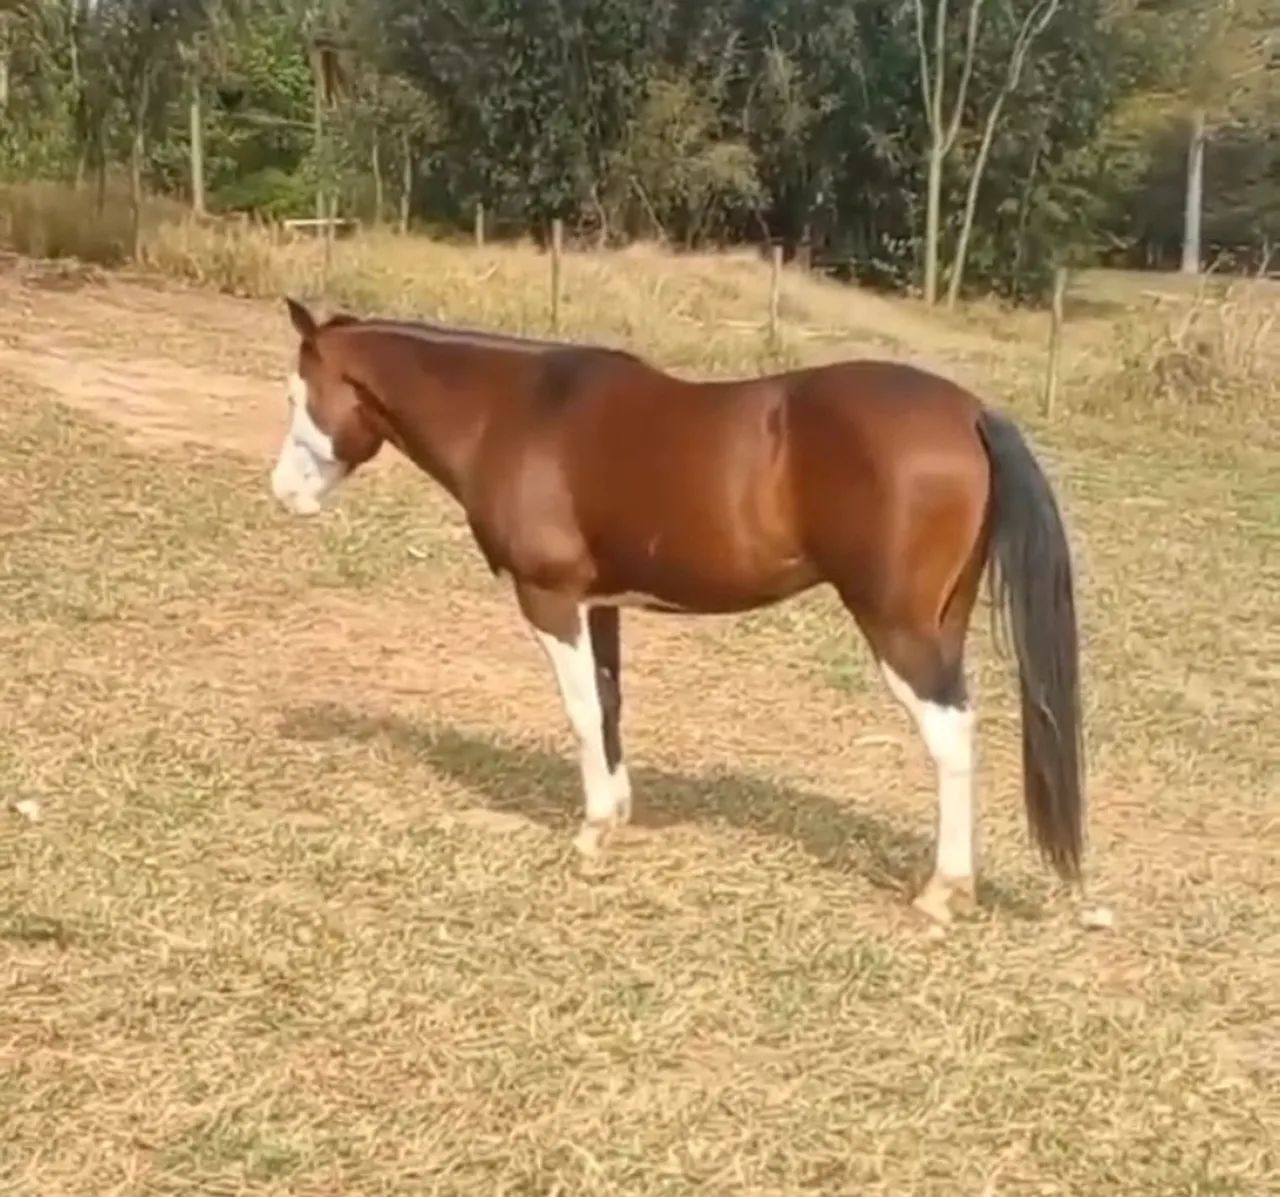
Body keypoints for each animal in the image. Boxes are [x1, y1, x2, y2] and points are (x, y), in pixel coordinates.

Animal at [270, 296, 1084, 925]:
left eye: (297, 393)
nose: (282, 493)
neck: (515, 412)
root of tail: (971, 412)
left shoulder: (550, 598)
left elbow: (579, 712)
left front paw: (592, 833)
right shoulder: (600, 604)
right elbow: (609, 704)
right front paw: (619, 815)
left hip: (901, 630)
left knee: (950, 737)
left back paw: (944, 891)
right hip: (942, 621)